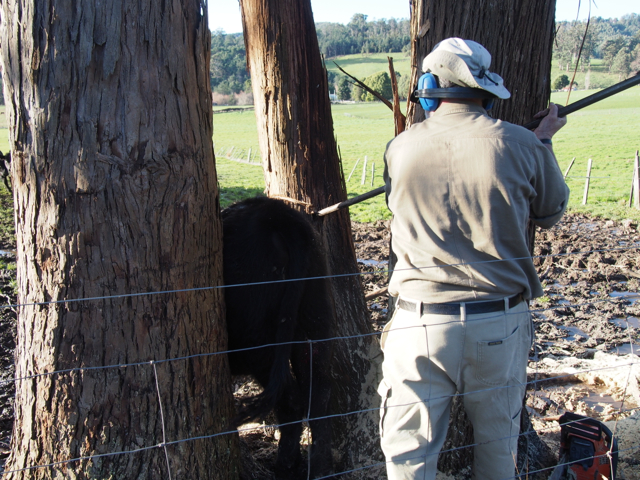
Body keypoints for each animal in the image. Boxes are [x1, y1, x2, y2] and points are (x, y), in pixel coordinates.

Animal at [221, 197, 336, 478]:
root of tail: (274, 212)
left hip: (257, 342)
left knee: (291, 400)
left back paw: (286, 464)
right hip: (316, 319)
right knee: (319, 393)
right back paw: (320, 468)